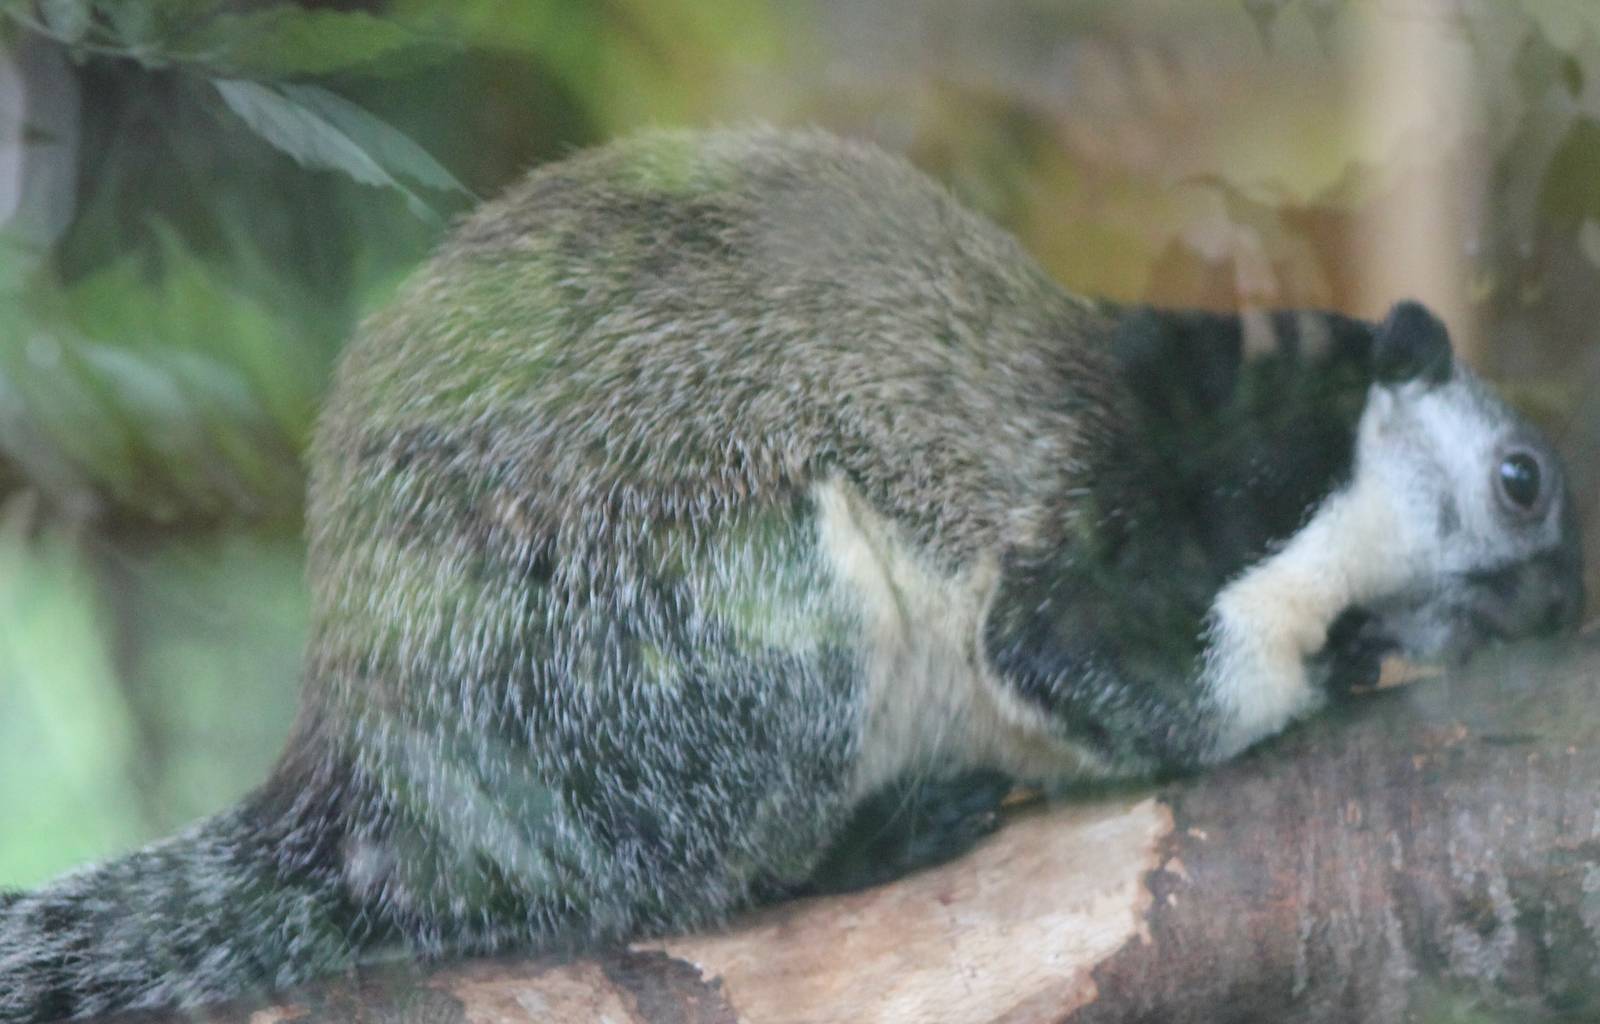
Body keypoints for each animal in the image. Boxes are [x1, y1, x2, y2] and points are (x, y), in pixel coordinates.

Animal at [0, 127, 1583, 1022]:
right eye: (1523, 479)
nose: (1566, 601)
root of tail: (361, 782)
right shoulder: (1110, 551)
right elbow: (1163, 685)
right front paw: (1338, 667)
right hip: (745, 624)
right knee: (674, 888)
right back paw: (884, 834)